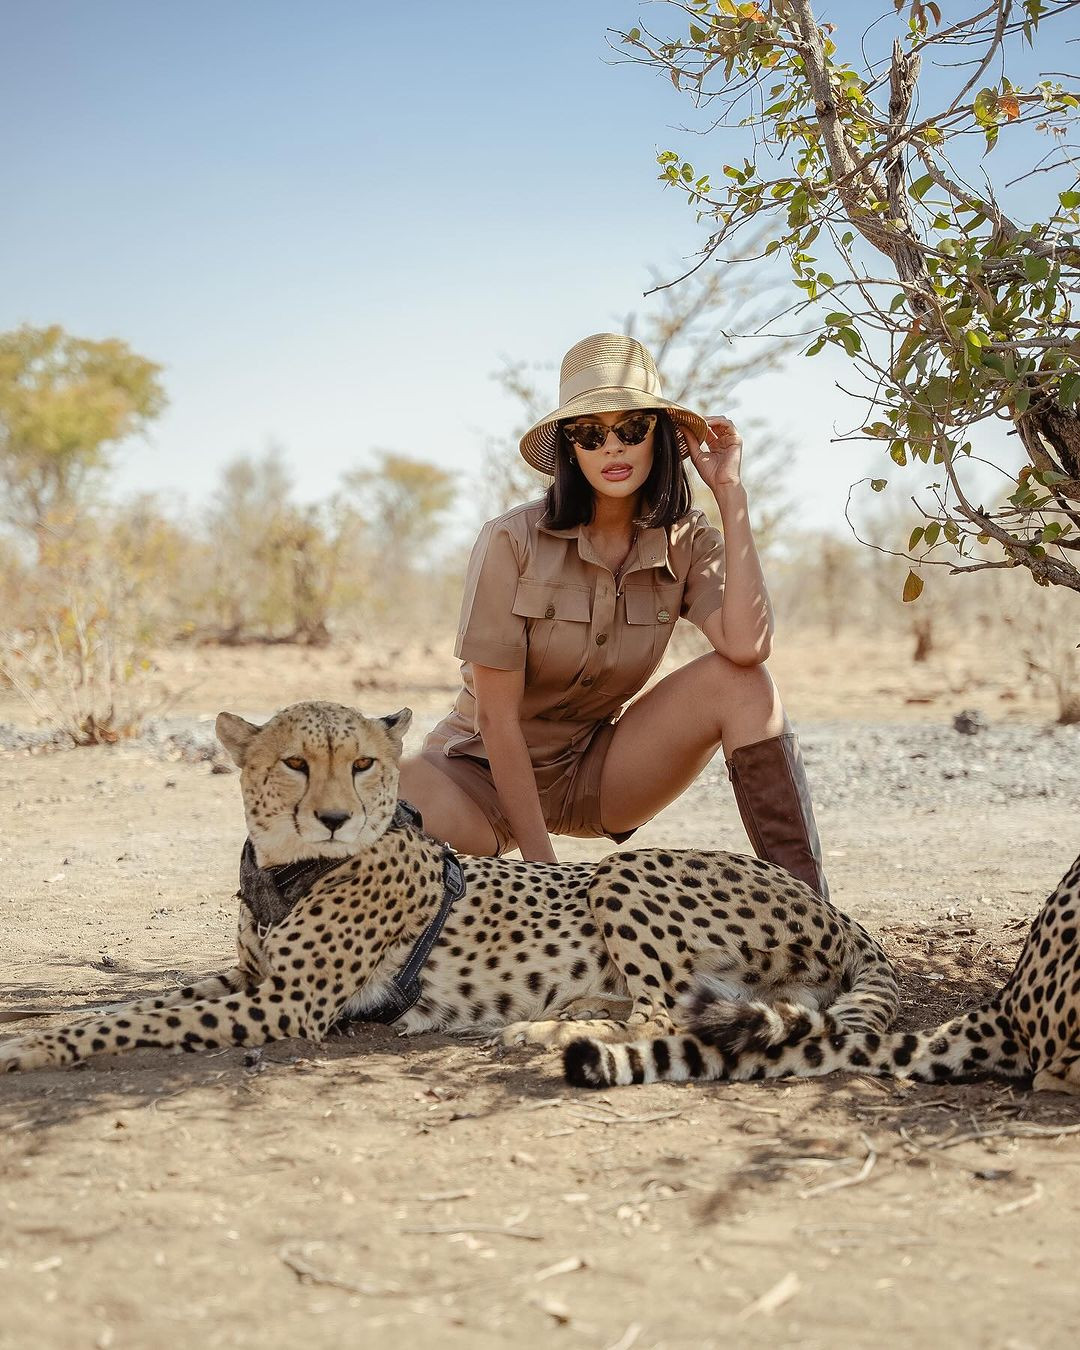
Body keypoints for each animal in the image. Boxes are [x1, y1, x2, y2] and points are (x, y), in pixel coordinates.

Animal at [0, 700, 899, 1074]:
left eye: (364, 763)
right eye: (295, 762)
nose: (334, 817)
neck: (286, 864)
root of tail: (839, 911)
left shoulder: (285, 1005)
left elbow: (145, 1018)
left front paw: (36, 1046)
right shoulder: (248, 977)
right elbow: (137, 1001)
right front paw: (48, 1022)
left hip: (623, 871)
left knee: (662, 1012)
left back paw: (540, 1033)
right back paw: (561, 1012)